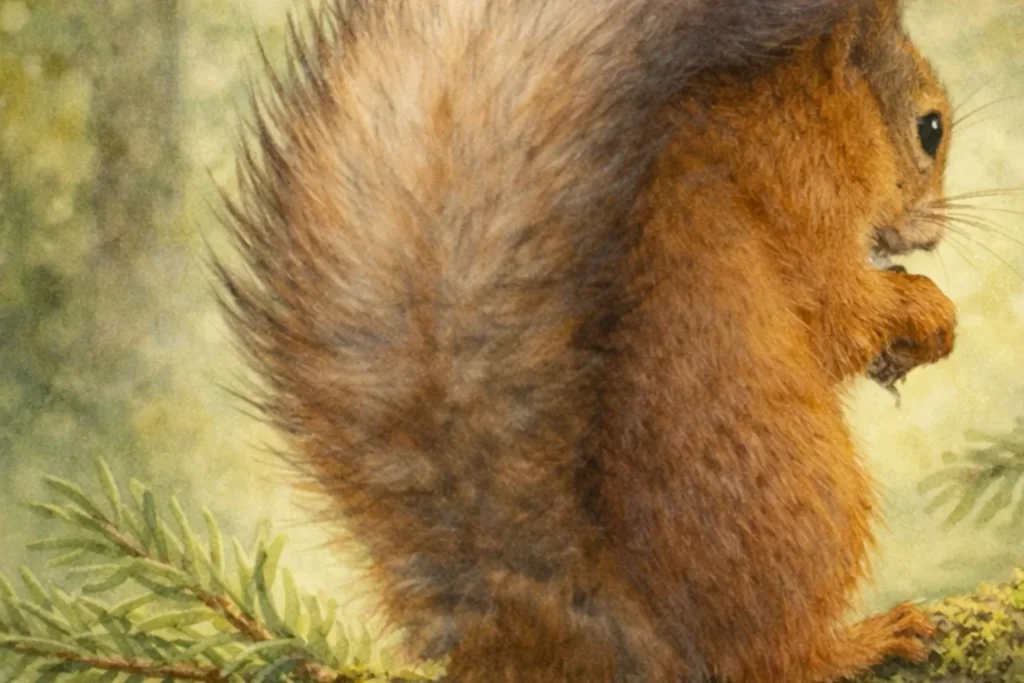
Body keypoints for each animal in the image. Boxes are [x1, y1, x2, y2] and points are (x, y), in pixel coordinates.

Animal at [217, 0, 956, 681]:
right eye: (931, 128)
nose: (934, 231)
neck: (812, 109)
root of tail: (585, 632)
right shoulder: (800, 191)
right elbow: (836, 311)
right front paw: (927, 313)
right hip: (803, 497)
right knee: (771, 660)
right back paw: (863, 642)